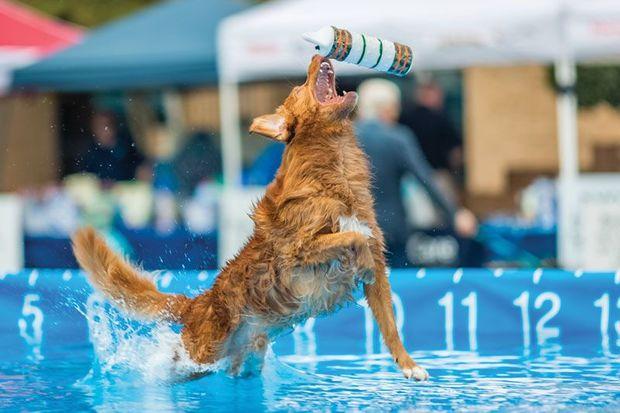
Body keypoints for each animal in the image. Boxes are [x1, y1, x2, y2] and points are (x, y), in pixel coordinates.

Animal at [72, 54, 428, 380]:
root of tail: (197, 303)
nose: (317, 54)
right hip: (201, 355)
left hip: (242, 355)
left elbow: (390, 325)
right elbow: (353, 238)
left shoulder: (379, 269)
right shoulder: (299, 249)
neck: (335, 170)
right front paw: (361, 261)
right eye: (300, 87)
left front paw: (408, 365)